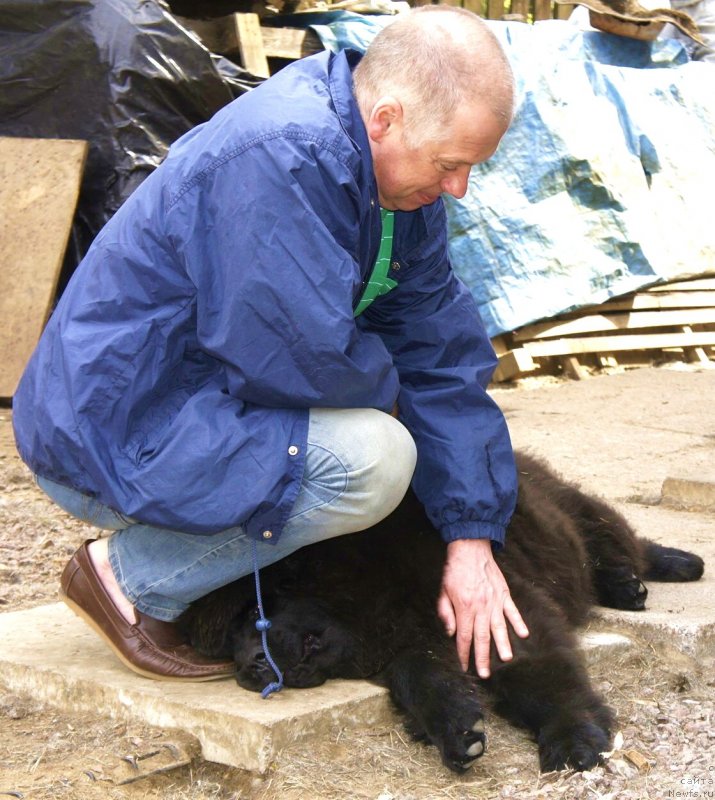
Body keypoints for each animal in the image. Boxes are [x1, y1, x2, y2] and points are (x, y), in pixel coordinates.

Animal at [183, 456, 704, 776]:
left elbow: (542, 679)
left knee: (617, 541)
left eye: (256, 610)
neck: (366, 583)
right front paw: (457, 731)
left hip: (574, 514)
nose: (247, 666)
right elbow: (422, 677)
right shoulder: (410, 640)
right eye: (230, 643)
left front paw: (573, 738)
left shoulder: (498, 611)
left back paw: (655, 574)